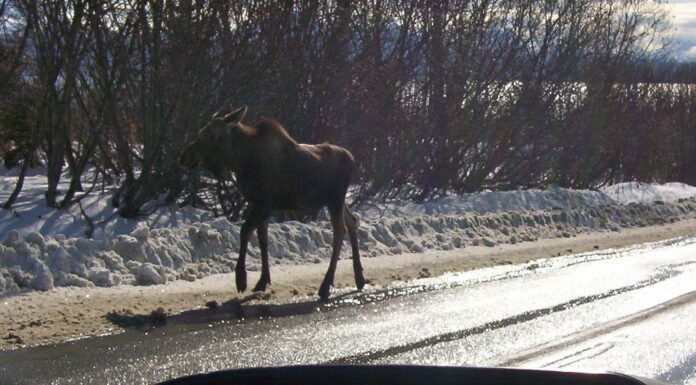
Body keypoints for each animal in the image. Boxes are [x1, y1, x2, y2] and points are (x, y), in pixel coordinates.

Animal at [179, 106, 364, 298]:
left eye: (212, 135)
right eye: (201, 131)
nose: (185, 156)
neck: (240, 161)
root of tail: (352, 159)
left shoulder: (264, 204)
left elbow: (245, 231)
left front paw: (241, 279)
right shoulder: (257, 203)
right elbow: (263, 239)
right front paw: (262, 280)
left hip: (335, 198)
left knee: (339, 231)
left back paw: (326, 285)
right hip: (337, 201)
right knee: (352, 221)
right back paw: (359, 278)